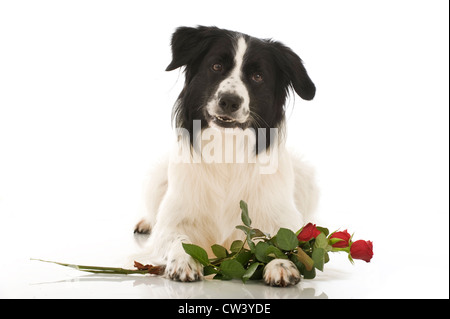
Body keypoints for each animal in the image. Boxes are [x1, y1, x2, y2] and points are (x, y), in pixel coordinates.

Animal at [135, 26, 318, 288]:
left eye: (258, 76)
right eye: (216, 66)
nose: (230, 101)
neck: (226, 147)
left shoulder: (279, 217)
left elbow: (279, 242)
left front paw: (280, 264)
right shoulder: (174, 220)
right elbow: (178, 239)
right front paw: (183, 261)